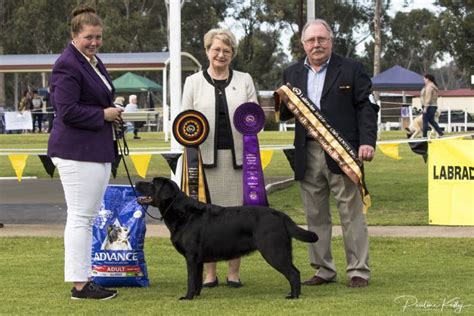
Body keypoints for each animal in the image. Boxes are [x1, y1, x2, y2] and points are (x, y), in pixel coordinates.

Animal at [135, 177, 316, 300]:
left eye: (153, 183)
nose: (136, 182)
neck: (181, 212)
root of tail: (280, 214)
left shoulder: (191, 257)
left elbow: (190, 279)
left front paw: (187, 297)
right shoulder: (198, 260)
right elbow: (197, 280)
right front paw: (196, 295)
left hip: (273, 250)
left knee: (293, 273)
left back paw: (293, 296)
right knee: (294, 271)